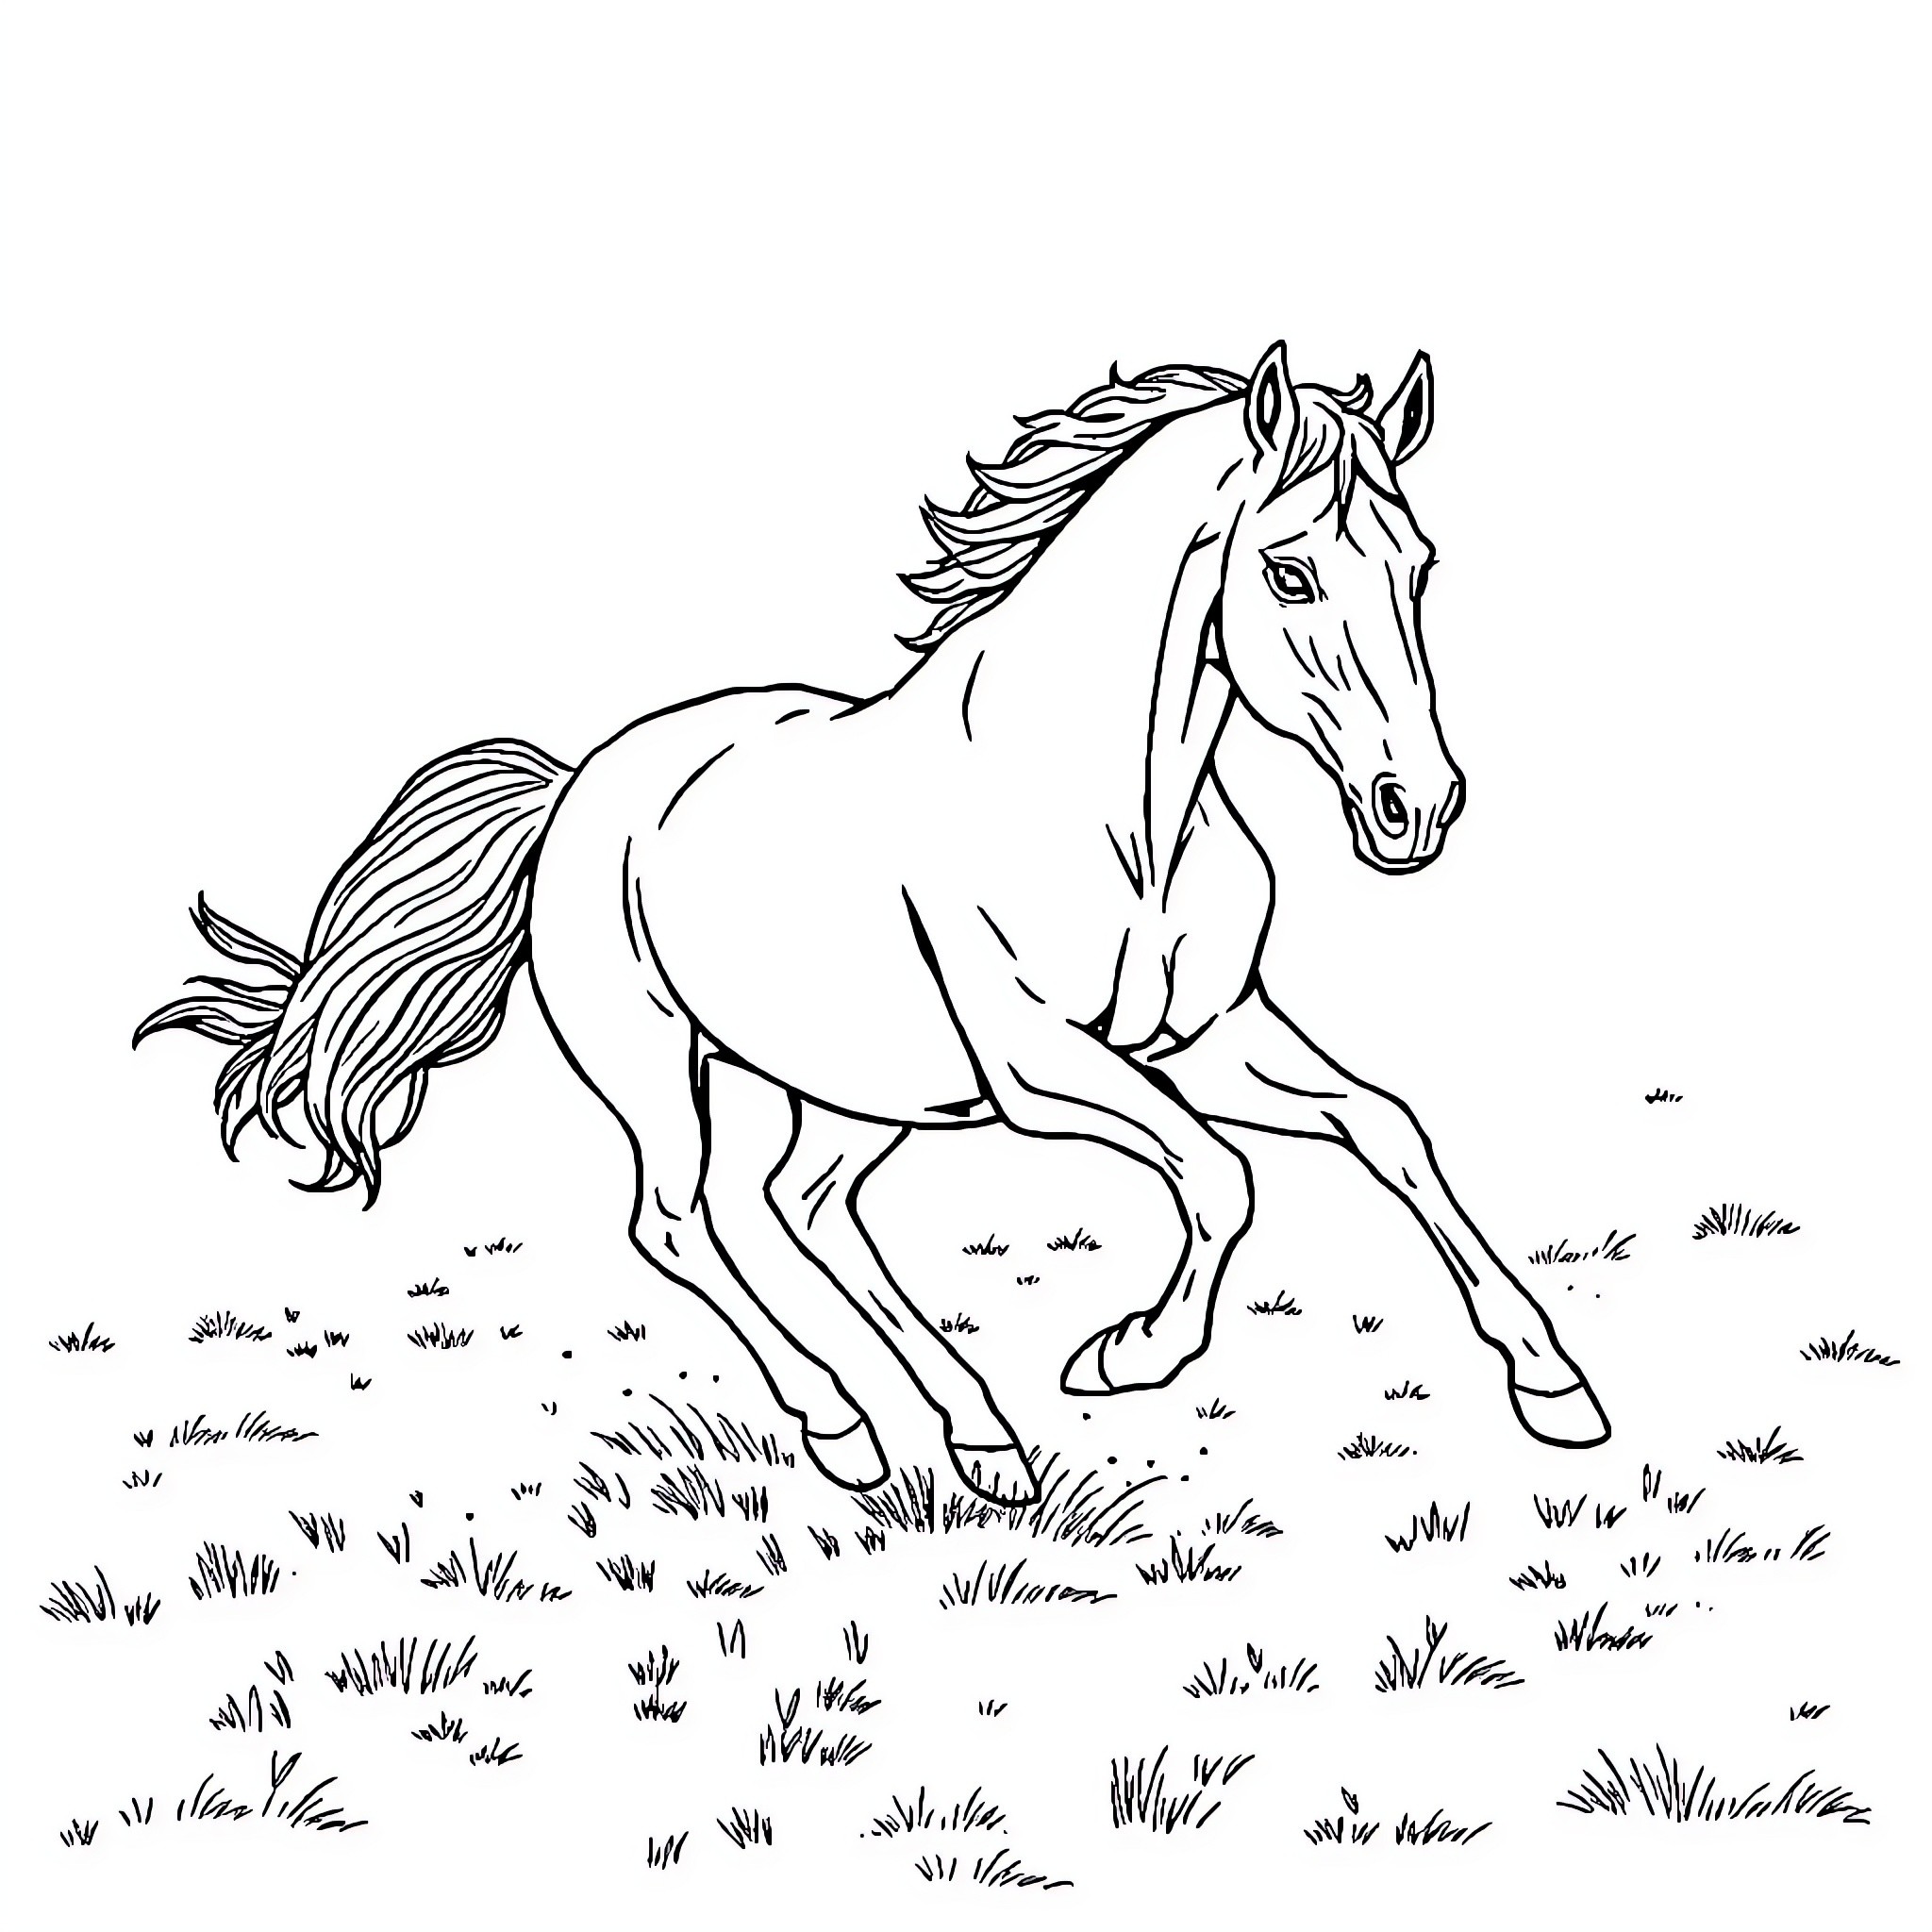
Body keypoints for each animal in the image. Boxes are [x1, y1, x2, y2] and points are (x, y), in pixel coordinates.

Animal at [136, 341, 1610, 1506]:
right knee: (681, 1224)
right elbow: (1220, 1176)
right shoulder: (1039, 1069)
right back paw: (845, 1430)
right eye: (1292, 574)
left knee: (803, 1209)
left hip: (853, 1087)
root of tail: (575, 788)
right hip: (656, 1066)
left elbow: (1388, 1128)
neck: (1110, 808)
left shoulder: (1208, 1037)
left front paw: (1554, 1387)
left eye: (1420, 566)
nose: (1417, 806)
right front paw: (1129, 1352)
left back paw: (979, 1443)